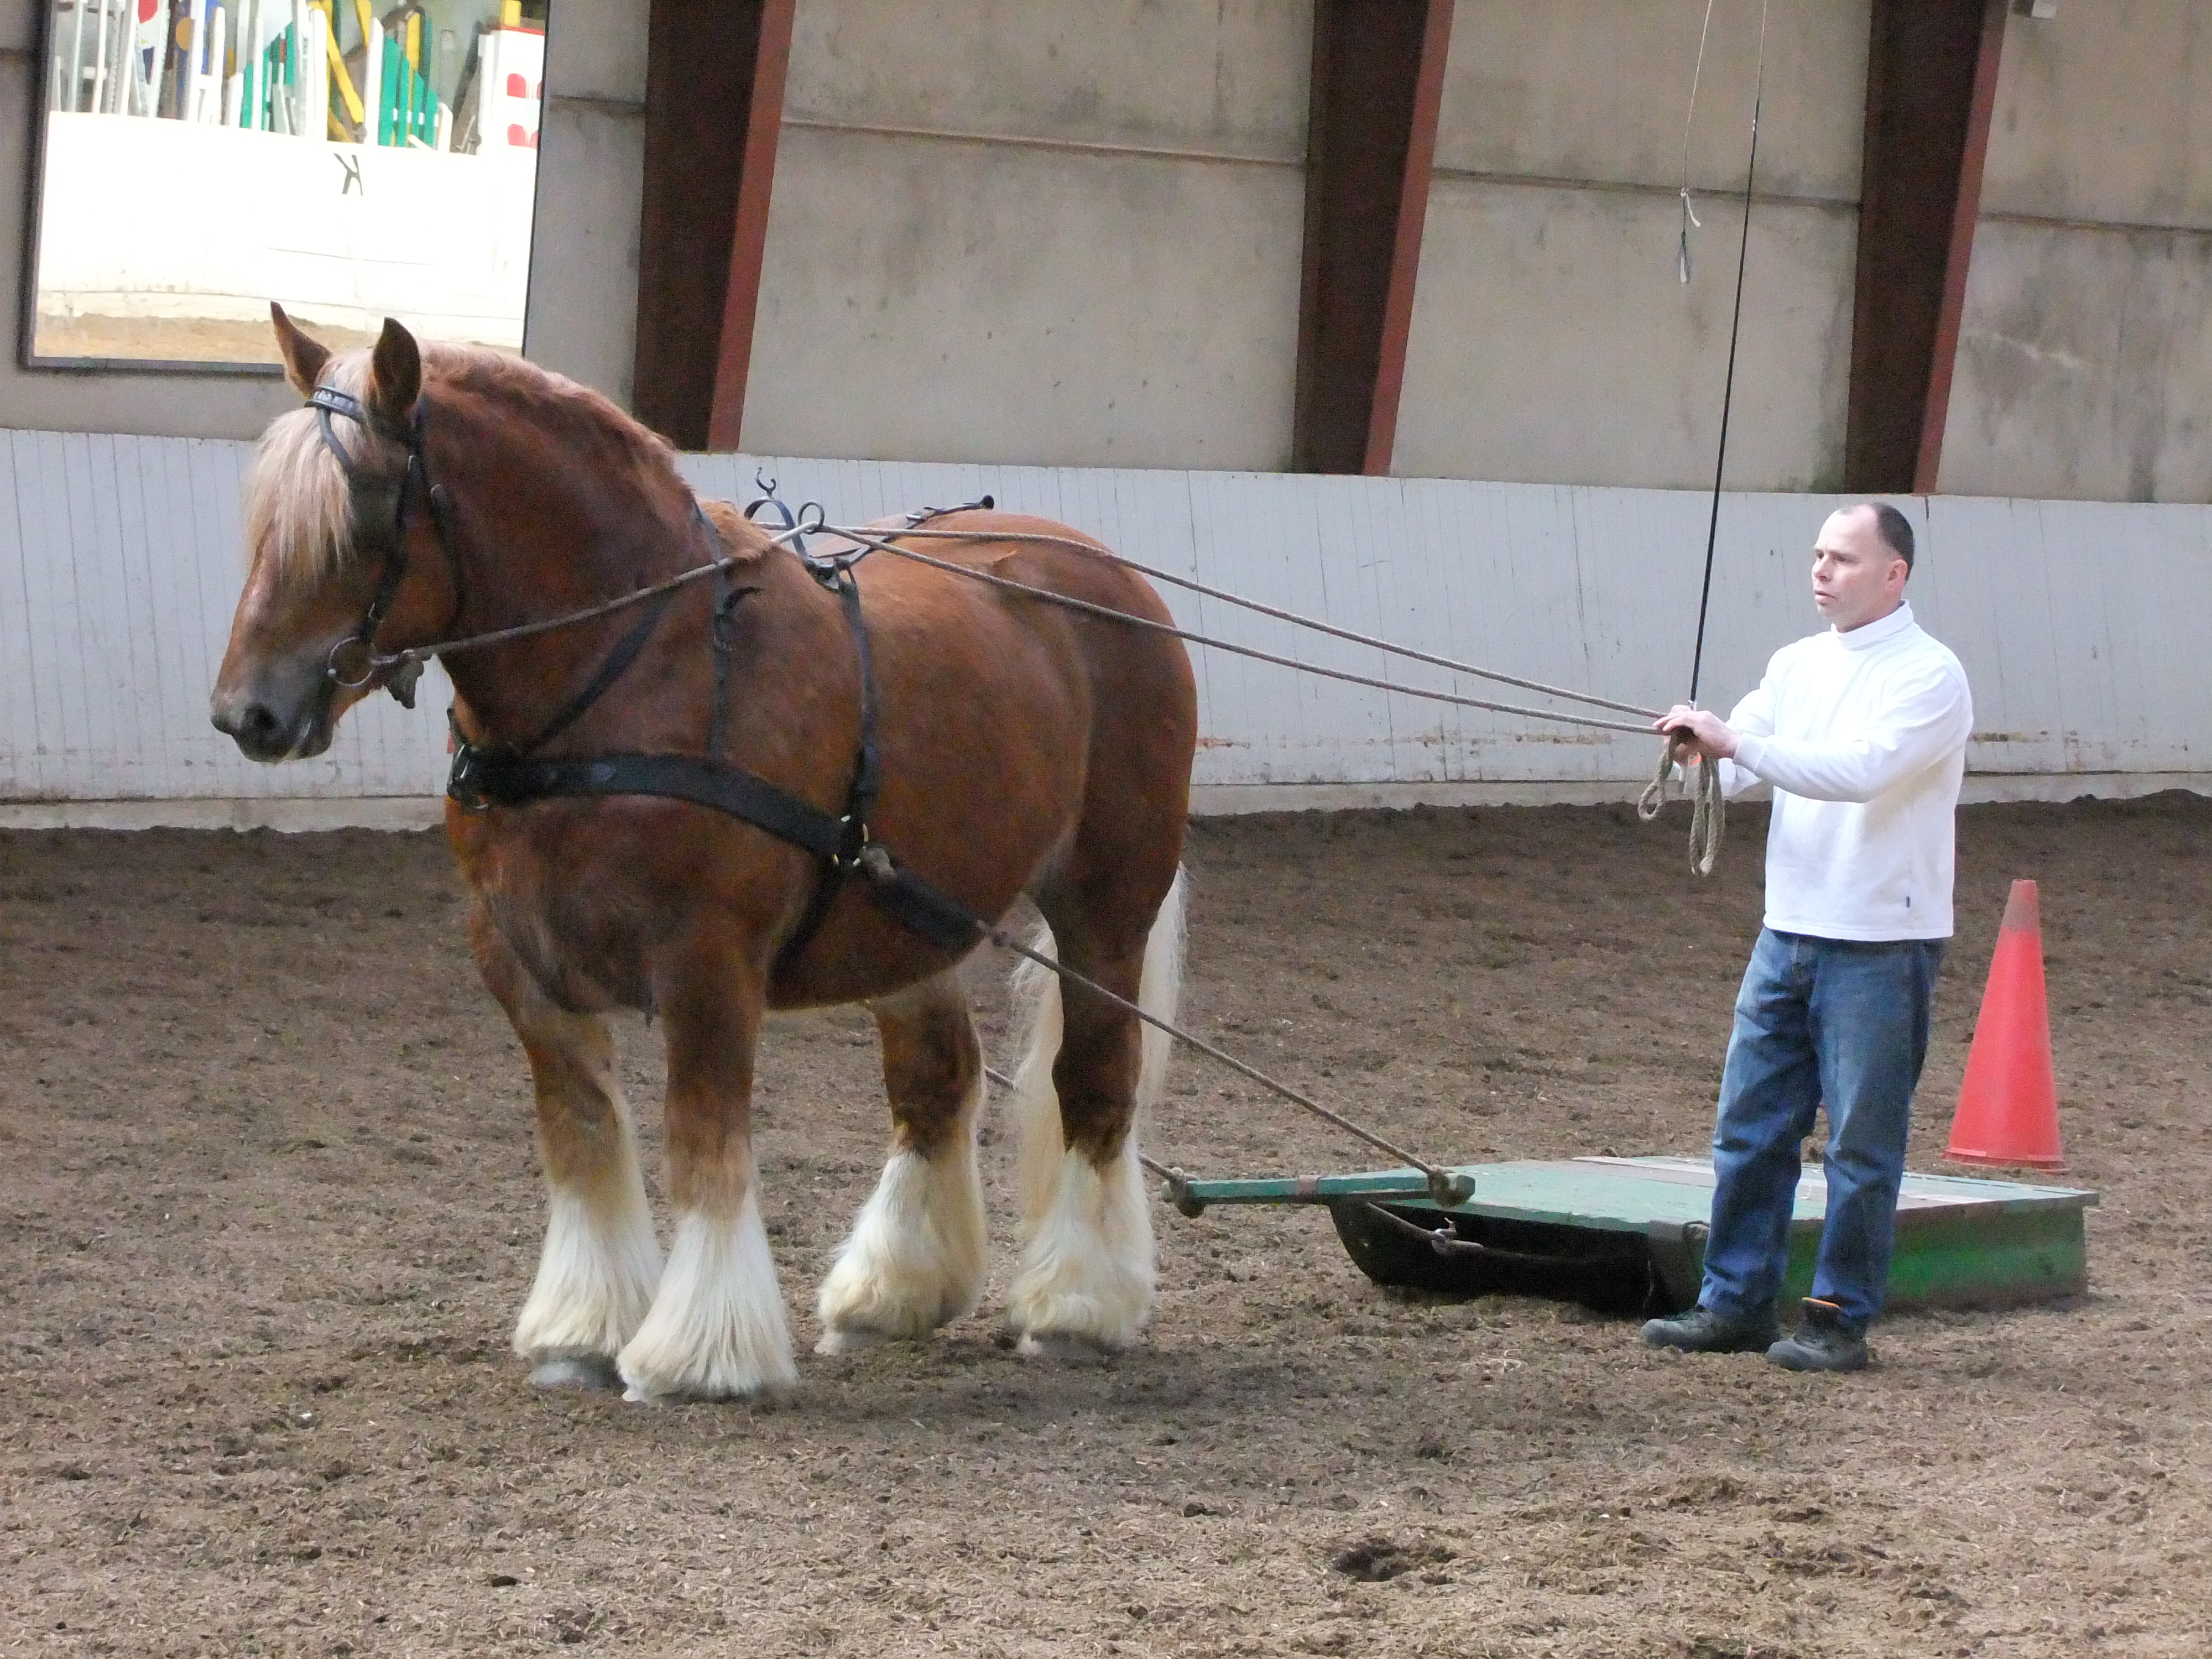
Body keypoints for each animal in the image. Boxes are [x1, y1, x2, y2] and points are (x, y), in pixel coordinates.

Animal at [211, 312, 1194, 1407]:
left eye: (365, 513)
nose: (248, 714)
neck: (633, 676)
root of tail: (1106, 572)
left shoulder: (706, 964)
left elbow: (702, 1140)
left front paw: (701, 1352)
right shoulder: (520, 965)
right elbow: (583, 1138)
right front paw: (582, 1331)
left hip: (1106, 907)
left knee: (1095, 1080)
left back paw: (1080, 1306)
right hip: (908, 919)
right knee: (935, 1085)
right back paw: (894, 1290)